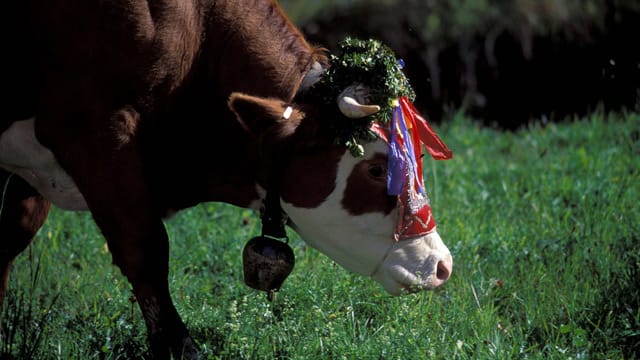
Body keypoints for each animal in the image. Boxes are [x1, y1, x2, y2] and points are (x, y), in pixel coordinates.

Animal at [0, 0, 450, 358]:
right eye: (375, 169)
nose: (442, 265)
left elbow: (8, 240)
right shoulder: (96, 133)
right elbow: (145, 250)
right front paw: (181, 348)